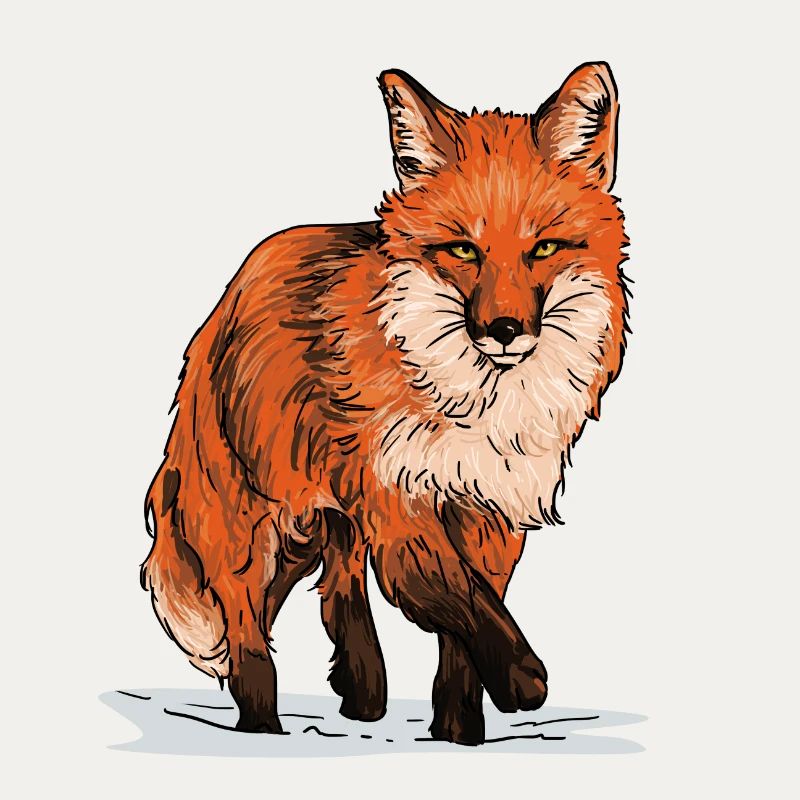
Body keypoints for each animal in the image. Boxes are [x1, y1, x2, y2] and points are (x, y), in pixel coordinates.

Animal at [141, 62, 630, 745]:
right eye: (463, 250)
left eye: (543, 249)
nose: (505, 330)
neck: (472, 407)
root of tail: (228, 293)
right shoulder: (400, 502)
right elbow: (466, 602)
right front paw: (523, 681)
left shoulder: (490, 511)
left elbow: (466, 634)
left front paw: (459, 734)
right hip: (257, 522)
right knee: (248, 630)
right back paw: (263, 728)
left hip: (323, 519)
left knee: (336, 591)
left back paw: (361, 694)